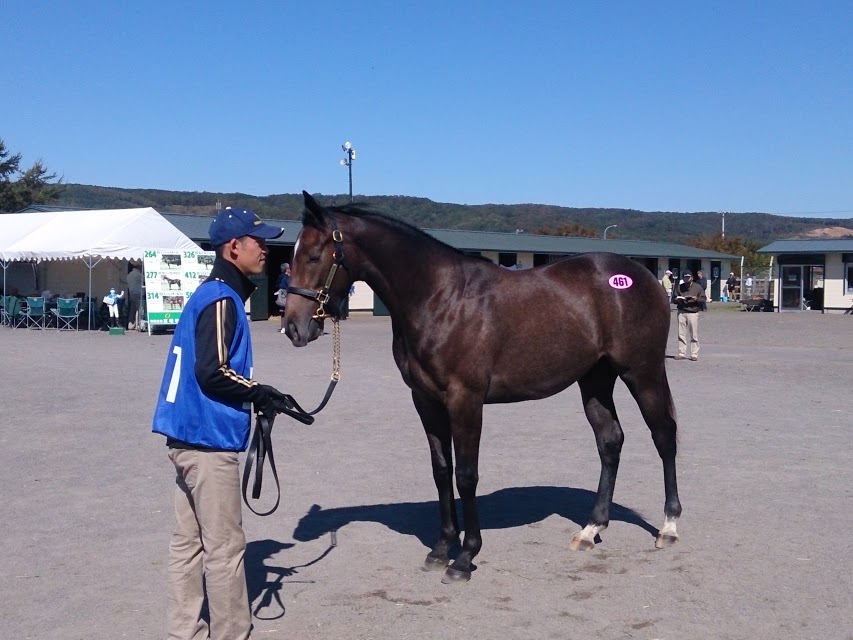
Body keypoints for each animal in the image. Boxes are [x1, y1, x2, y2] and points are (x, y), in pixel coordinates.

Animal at [284, 191, 681, 583]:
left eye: (314, 255)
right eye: (291, 258)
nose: (294, 328)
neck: (439, 298)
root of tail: (641, 275)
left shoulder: (466, 399)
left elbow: (466, 475)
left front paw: (465, 557)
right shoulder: (425, 400)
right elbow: (441, 471)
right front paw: (441, 549)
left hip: (642, 372)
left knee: (664, 435)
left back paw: (669, 526)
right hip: (596, 378)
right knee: (610, 441)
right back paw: (590, 529)